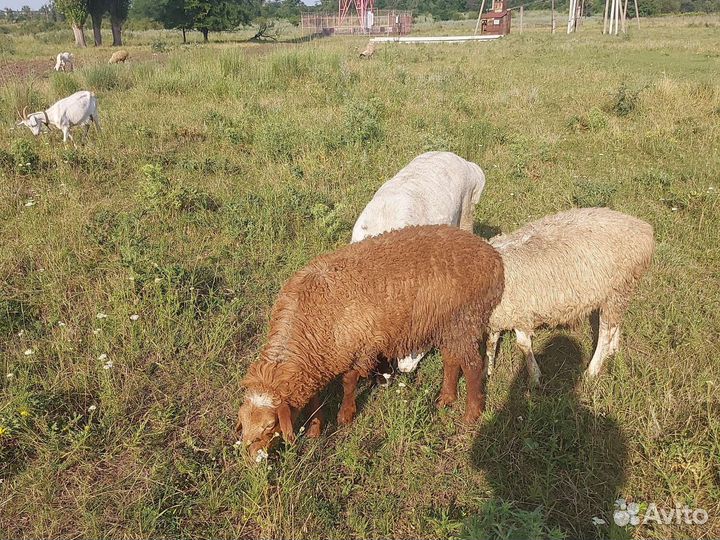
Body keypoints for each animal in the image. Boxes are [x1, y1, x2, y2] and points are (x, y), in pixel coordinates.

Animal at [236, 225, 504, 456]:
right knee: (451, 360)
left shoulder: (360, 347)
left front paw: (345, 416)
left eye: (270, 426)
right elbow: (315, 399)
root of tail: (491, 256)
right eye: (243, 423)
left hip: (466, 319)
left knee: (473, 367)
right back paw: (445, 399)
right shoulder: (316, 362)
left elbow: (348, 383)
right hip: (448, 325)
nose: (251, 461)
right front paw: (315, 429)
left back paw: (471, 414)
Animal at [397, 207, 655, 386]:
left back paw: (593, 369)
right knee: (615, 322)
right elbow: (491, 341)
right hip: (620, 290)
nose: (402, 370)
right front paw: (487, 370)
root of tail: (643, 228)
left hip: (619, 287)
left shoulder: (520, 311)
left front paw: (534, 376)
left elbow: (523, 345)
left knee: (605, 329)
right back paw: (613, 349)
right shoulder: (498, 315)